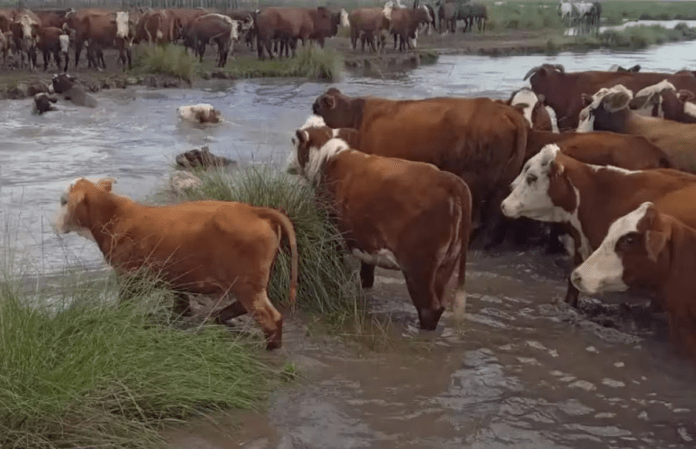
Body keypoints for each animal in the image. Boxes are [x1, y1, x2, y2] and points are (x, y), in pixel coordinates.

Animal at [54, 177, 298, 350]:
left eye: (64, 201)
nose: (54, 225)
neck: (114, 215)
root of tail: (254, 211)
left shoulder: (129, 276)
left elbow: (125, 303)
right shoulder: (174, 277)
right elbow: (180, 303)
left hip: (247, 283)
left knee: (270, 318)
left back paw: (271, 347)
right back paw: (219, 318)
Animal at [291, 124, 471, 330]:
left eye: (293, 141)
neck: (329, 160)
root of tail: (448, 179)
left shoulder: (330, 234)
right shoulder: (366, 240)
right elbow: (366, 276)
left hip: (420, 267)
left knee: (429, 308)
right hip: (446, 264)